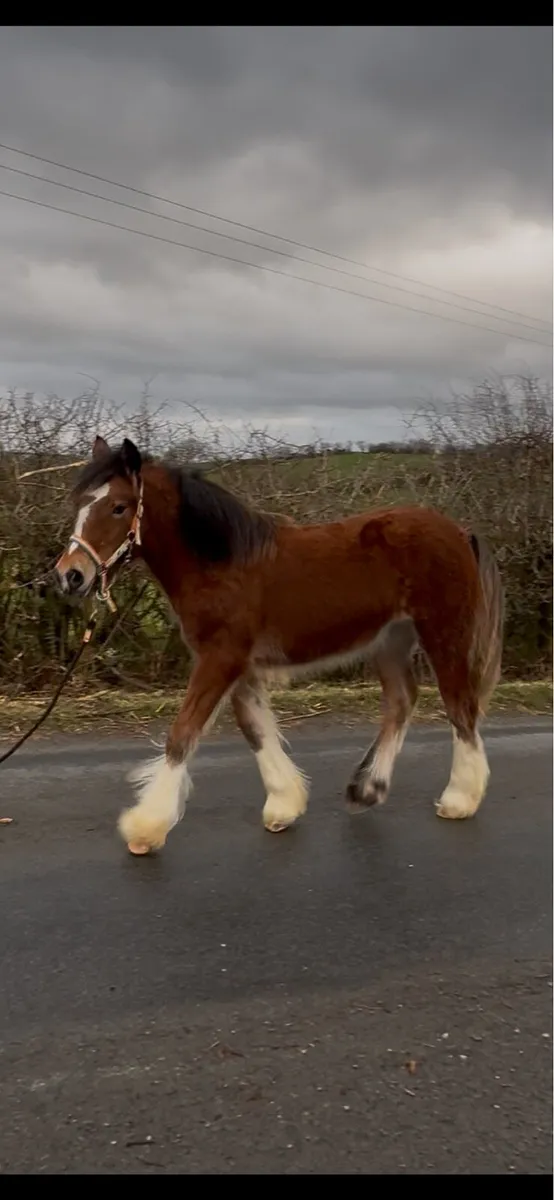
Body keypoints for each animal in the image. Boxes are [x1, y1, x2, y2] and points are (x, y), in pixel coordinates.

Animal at [54, 435, 504, 857]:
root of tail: (459, 532)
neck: (221, 563)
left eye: (119, 507)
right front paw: (284, 804)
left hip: (444, 634)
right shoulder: (240, 666)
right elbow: (255, 729)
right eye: (79, 503)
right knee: (402, 701)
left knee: (460, 708)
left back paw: (460, 798)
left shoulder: (220, 660)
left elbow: (182, 733)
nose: (70, 576)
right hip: (390, 641)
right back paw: (367, 789)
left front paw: (146, 828)